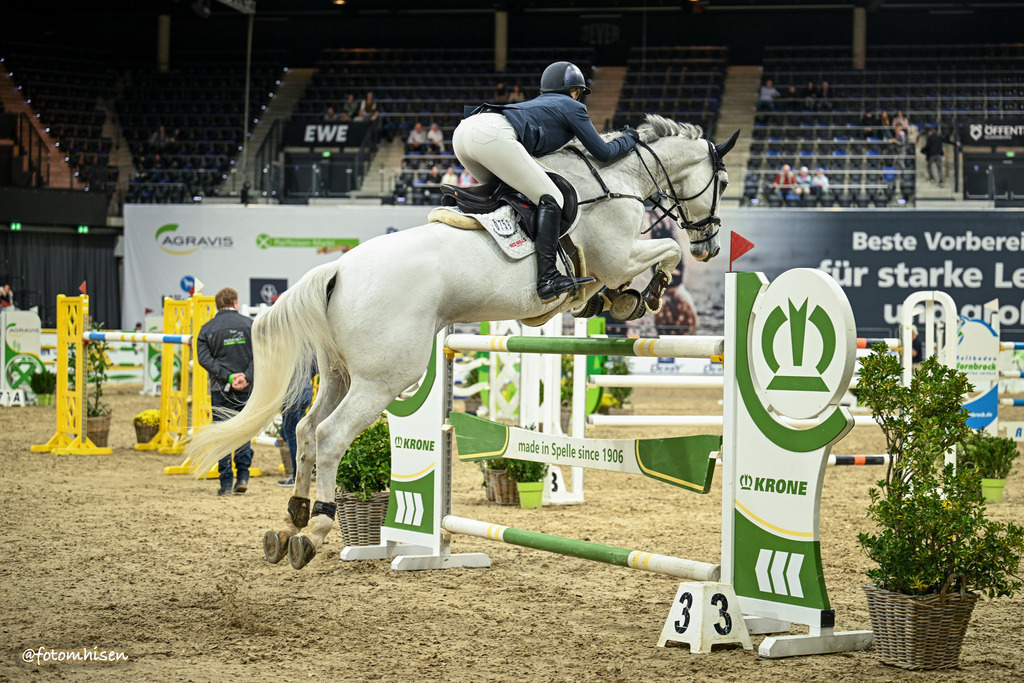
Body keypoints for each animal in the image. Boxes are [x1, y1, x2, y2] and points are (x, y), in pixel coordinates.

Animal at [186, 114, 737, 569]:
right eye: (725, 182)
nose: (710, 246)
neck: (616, 181)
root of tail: (338, 268)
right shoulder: (618, 257)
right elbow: (661, 252)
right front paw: (642, 295)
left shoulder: (608, 265)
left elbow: (610, 285)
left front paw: (618, 302)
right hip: (383, 379)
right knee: (330, 436)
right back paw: (316, 526)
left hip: (342, 373)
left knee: (303, 432)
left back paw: (291, 522)